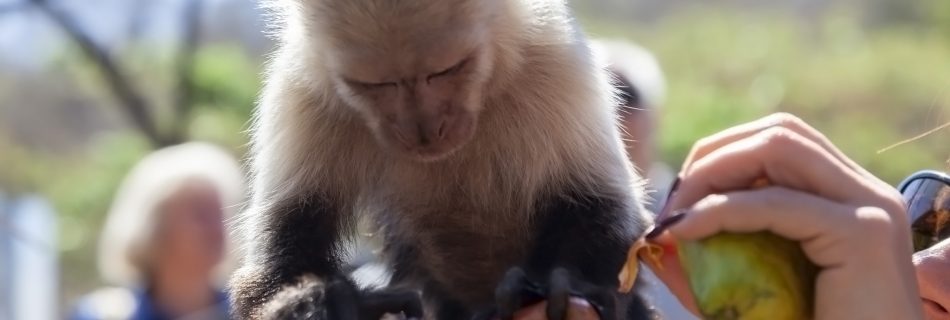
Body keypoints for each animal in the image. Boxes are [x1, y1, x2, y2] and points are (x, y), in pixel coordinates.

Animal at [233, 0, 660, 320]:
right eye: (375, 84)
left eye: (446, 70)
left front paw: (567, 284)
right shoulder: (302, 87)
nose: (425, 130)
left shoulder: (555, 60)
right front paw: (317, 304)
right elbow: (279, 255)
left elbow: (606, 208)